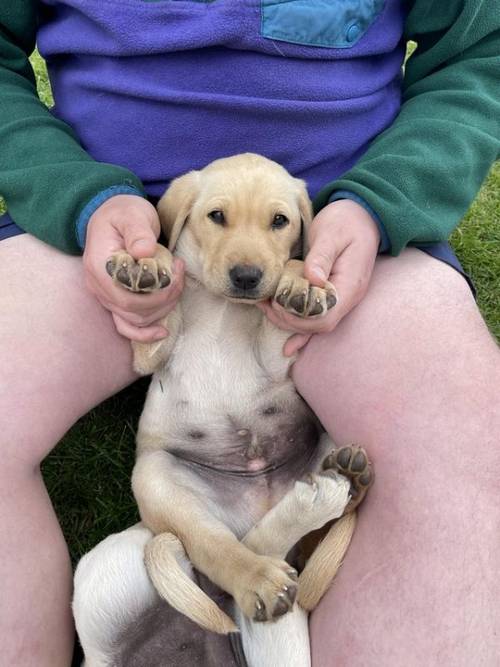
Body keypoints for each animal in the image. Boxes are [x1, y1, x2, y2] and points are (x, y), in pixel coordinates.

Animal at [73, 155, 372, 667]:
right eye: (216, 216)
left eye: (280, 222)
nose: (248, 277)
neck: (223, 306)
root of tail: (254, 508)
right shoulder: (148, 353)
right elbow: (158, 303)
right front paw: (146, 260)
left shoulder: (277, 356)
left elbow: (286, 302)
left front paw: (300, 280)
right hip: (156, 480)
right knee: (221, 549)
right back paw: (262, 575)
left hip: (321, 443)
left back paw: (347, 480)